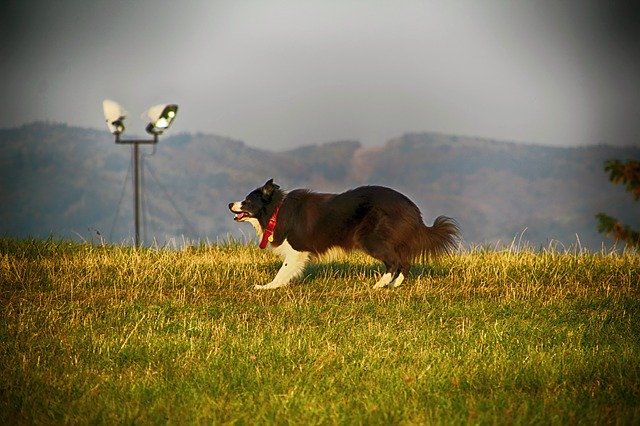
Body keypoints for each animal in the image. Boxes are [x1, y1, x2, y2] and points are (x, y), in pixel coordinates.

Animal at [228, 180, 458, 290]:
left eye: (247, 200)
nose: (230, 203)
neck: (276, 209)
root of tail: (413, 210)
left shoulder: (297, 249)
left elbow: (282, 271)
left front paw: (267, 287)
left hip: (371, 239)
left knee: (394, 262)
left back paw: (378, 285)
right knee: (405, 263)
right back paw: (393, 285)